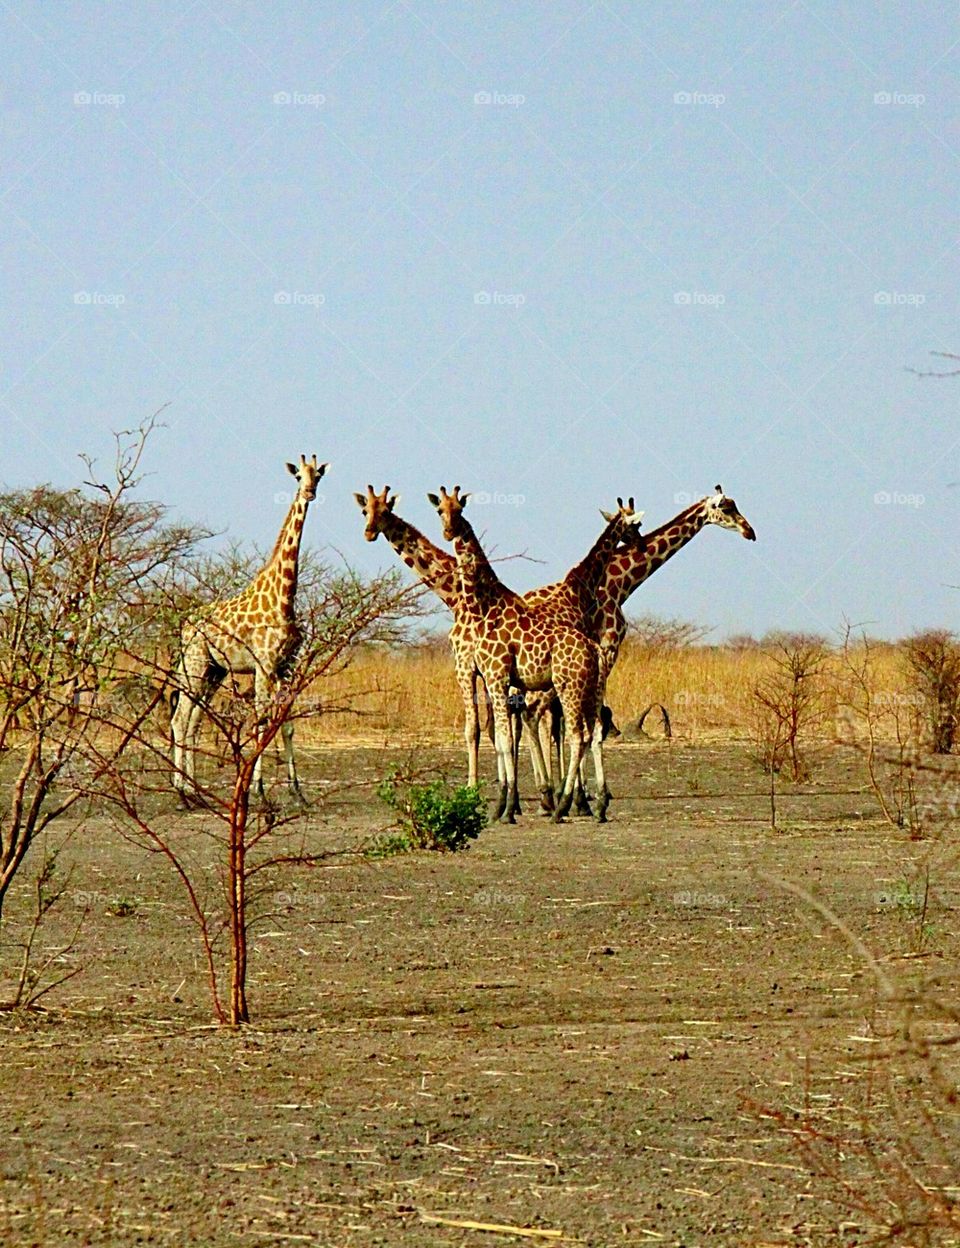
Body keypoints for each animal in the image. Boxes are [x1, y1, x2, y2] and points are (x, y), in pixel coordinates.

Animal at [171, 455, 327, 801]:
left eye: (319, 475)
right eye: (298, 476)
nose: (310, 492)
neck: (284, 597)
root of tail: (185, 625)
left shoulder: (286, 667)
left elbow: (286, 725)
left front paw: (297, 792)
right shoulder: (263, 664)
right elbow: (260, 721)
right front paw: (258, 788)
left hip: (214, 671)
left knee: (193, 721)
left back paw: (193, 788)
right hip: (194, 664)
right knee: (179, 718)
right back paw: (180, 790)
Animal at [428, 486, 613, 823]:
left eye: (460, 508)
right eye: (440, 510)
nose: (449, 531)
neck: (483, 607)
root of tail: (594, 648)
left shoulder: (495, 677)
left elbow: (502, 739)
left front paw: (504, 808)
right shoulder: (490, 679)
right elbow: (500, 739)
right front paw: (503, 805)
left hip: (568, 687)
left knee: (577, 735)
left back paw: (561, 807)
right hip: (591, 689)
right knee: (591, 733)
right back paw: (593, 807)